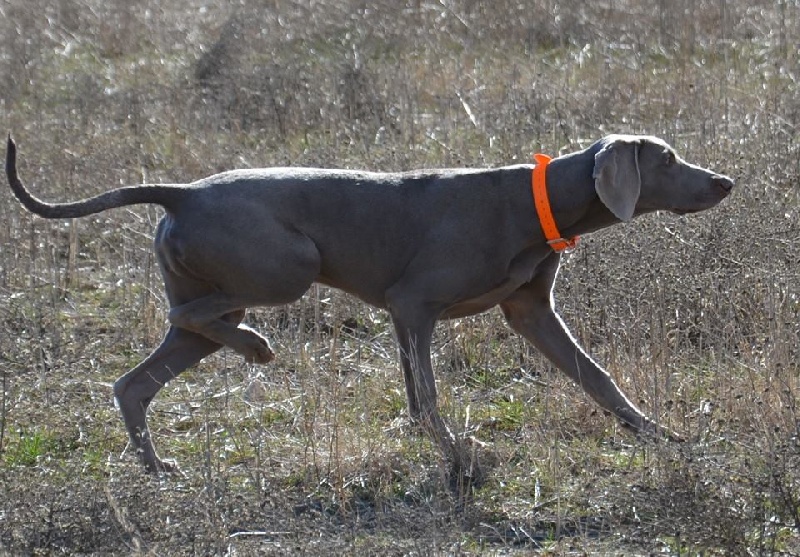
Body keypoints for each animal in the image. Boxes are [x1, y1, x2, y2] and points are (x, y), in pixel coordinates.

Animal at [4, 132, 732, 480]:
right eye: (668, 158)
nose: (725, 180)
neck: (541, 198)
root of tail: (182, 192)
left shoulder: (530, 311)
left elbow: (598, 377)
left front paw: (660, 434)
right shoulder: (412, 304)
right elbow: (426, 396)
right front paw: (456, 455)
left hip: (212, 288)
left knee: (138, 379)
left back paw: (157, 465)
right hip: (288, 266)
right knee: (198, 317)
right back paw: (257, 346)